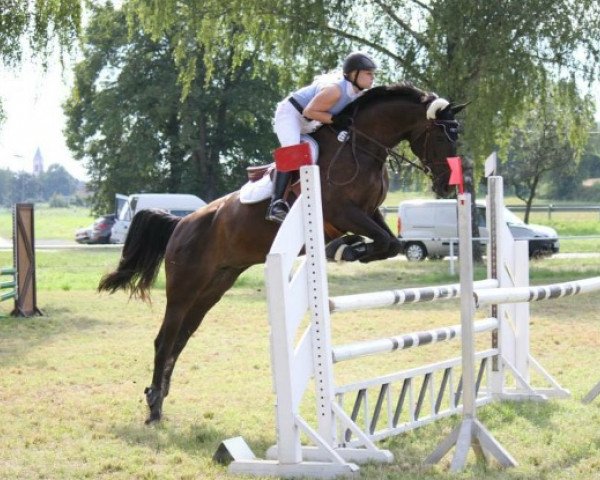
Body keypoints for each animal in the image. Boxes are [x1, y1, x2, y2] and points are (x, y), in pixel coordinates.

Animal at [98, 83, 466, 424]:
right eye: (442, 136)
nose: (447, 184)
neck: (360, 147)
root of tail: (180, 223)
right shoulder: (344, 211)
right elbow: (385, 242)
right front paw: (345, 249)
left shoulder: (369, 212)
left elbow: (391, 243)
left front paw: (347, 248)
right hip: (184, 288)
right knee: (164, 340)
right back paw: (153, 407)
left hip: (214, 287)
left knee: (180, 340)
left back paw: (158, 399)